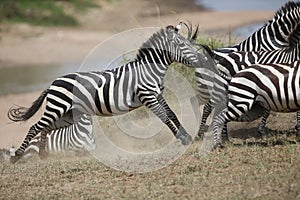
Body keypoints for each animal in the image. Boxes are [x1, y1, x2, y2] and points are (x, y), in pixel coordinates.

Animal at [7, 21, 202, 163]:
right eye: (183, 45)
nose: (201, 59)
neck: (148, 70)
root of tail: (52, 84)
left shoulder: (157, 95)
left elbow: (172, 114)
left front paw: (186, 135)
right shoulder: (147, 97)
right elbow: (164, 117)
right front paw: (181, 138)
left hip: (67, 114)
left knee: (45, 128)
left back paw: (43, 155)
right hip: (57, 108)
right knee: (35, 127)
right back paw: (17, 156)